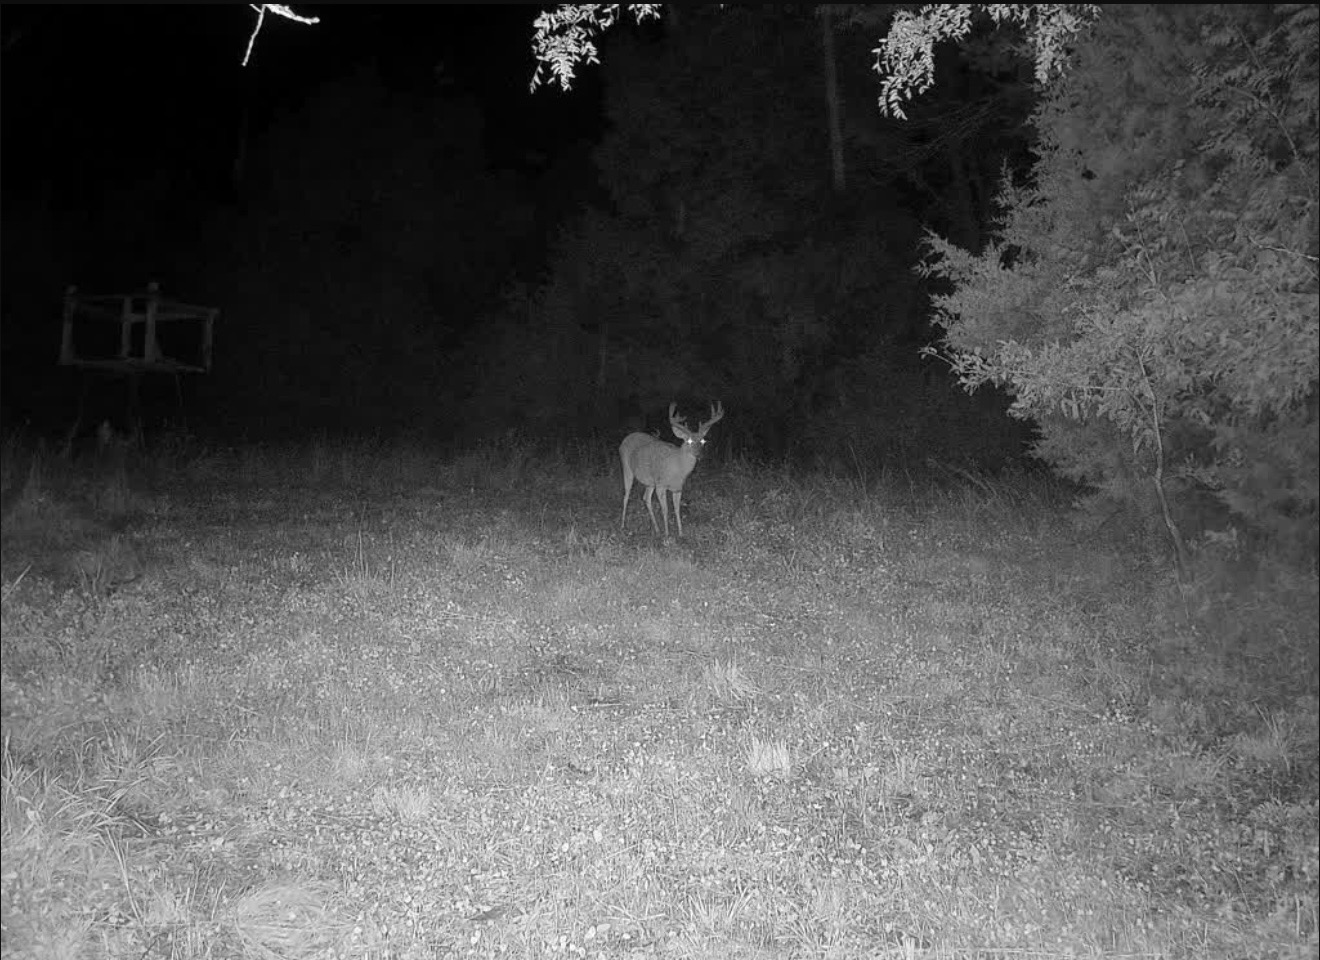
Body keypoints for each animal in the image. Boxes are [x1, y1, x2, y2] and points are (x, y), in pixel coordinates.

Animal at [620, 401, 724, 538]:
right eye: (689, 441)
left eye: (703, 441)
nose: (699, 455)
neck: (677, 469)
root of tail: (627, 437)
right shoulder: (661, 485)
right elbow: (665, 509)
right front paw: (667, 534)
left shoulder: (678, 488)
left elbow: (677, 509)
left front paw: (680, 533)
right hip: (627, 468)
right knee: (626, 496)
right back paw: (622, 526)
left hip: (650, 481)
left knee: (646, 498)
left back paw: (657, 529)